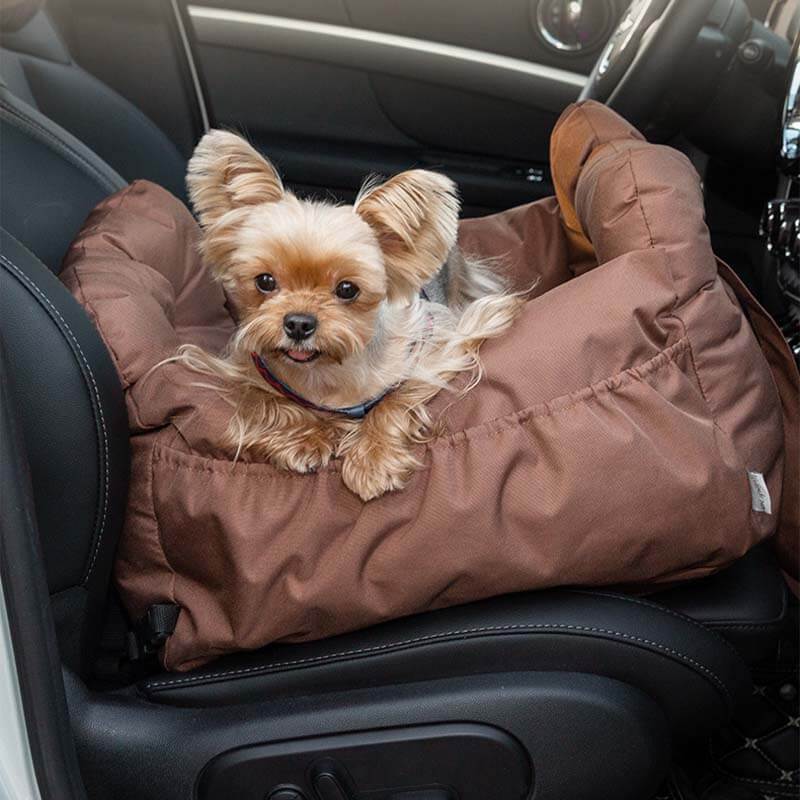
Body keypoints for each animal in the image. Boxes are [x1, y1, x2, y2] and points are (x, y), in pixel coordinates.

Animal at [177, 131, 524, 500]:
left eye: (347, 289)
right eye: (265, 281)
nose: (299, 323)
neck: (324, 369)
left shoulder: (438, 344)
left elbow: (395, 398)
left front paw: (372, 459)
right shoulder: (246, 365)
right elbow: (262, 398)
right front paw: (305, 440)